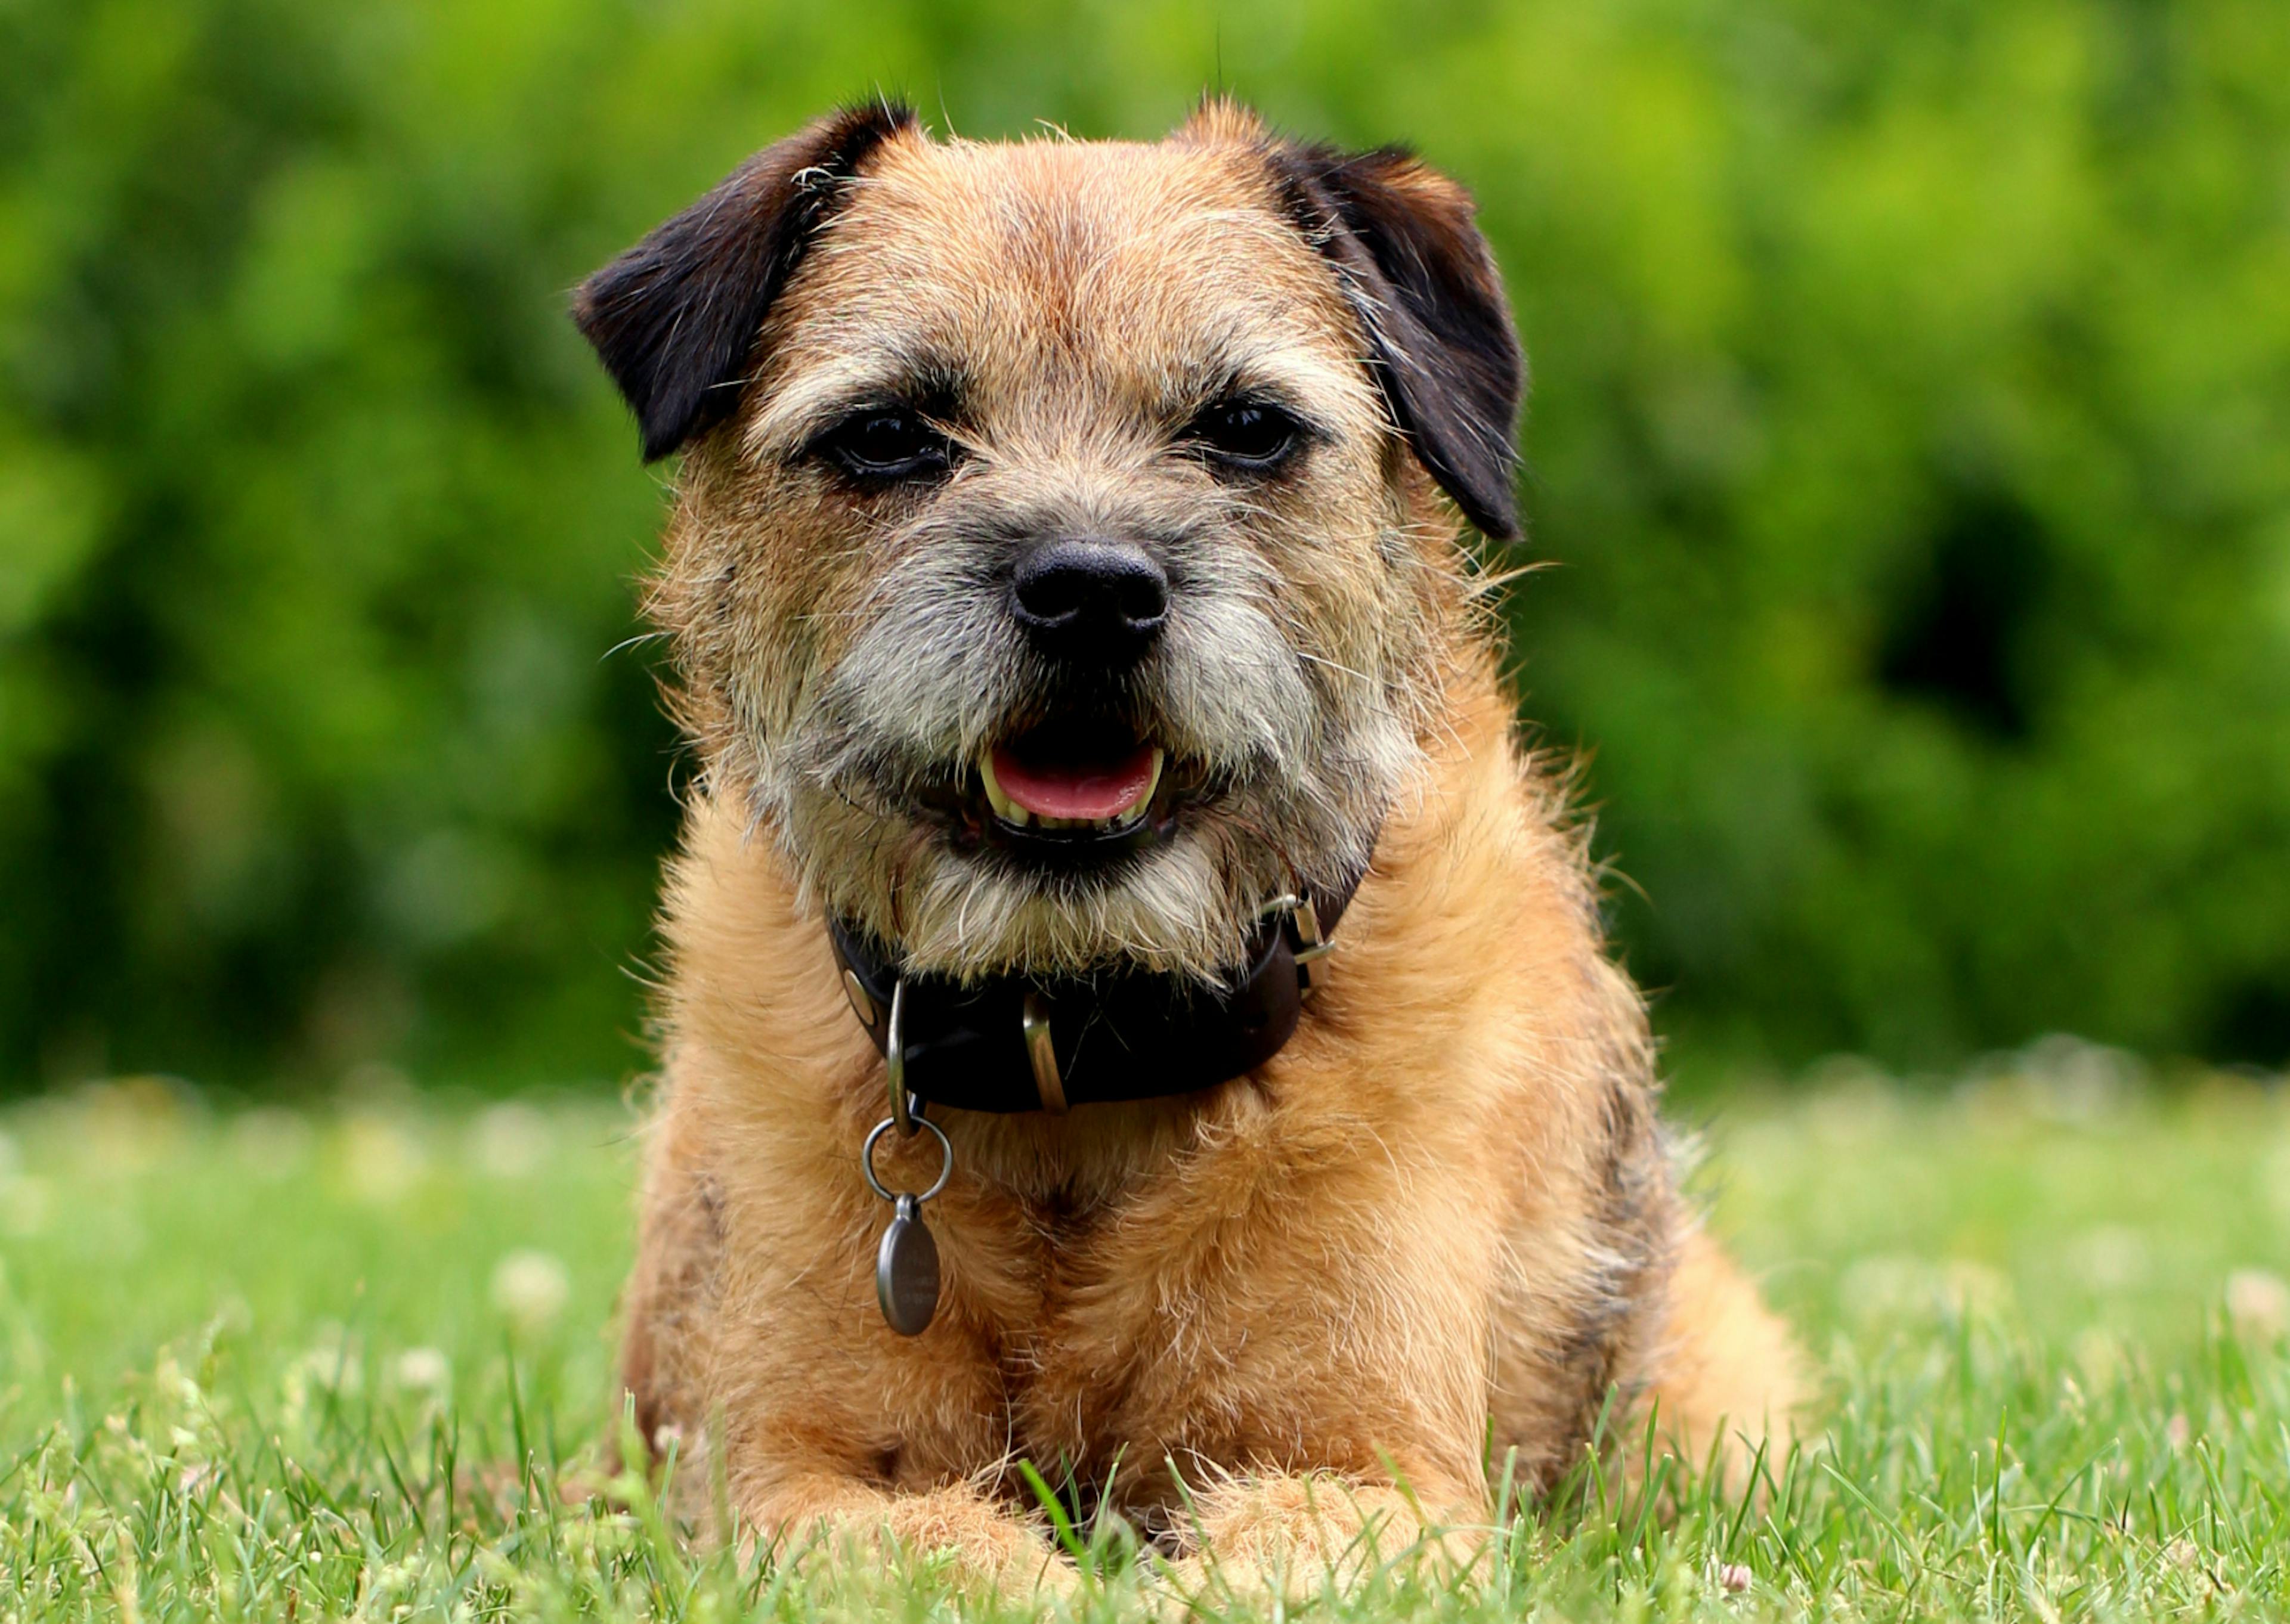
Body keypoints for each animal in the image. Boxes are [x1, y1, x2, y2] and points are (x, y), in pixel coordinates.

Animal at [577, 98, 1804, 1585]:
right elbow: (947, 1555)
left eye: (1247, 428)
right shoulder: (787, 1482)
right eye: (888, 436)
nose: (1093, 590)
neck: (1077, 1054)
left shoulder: (1374, 1477)